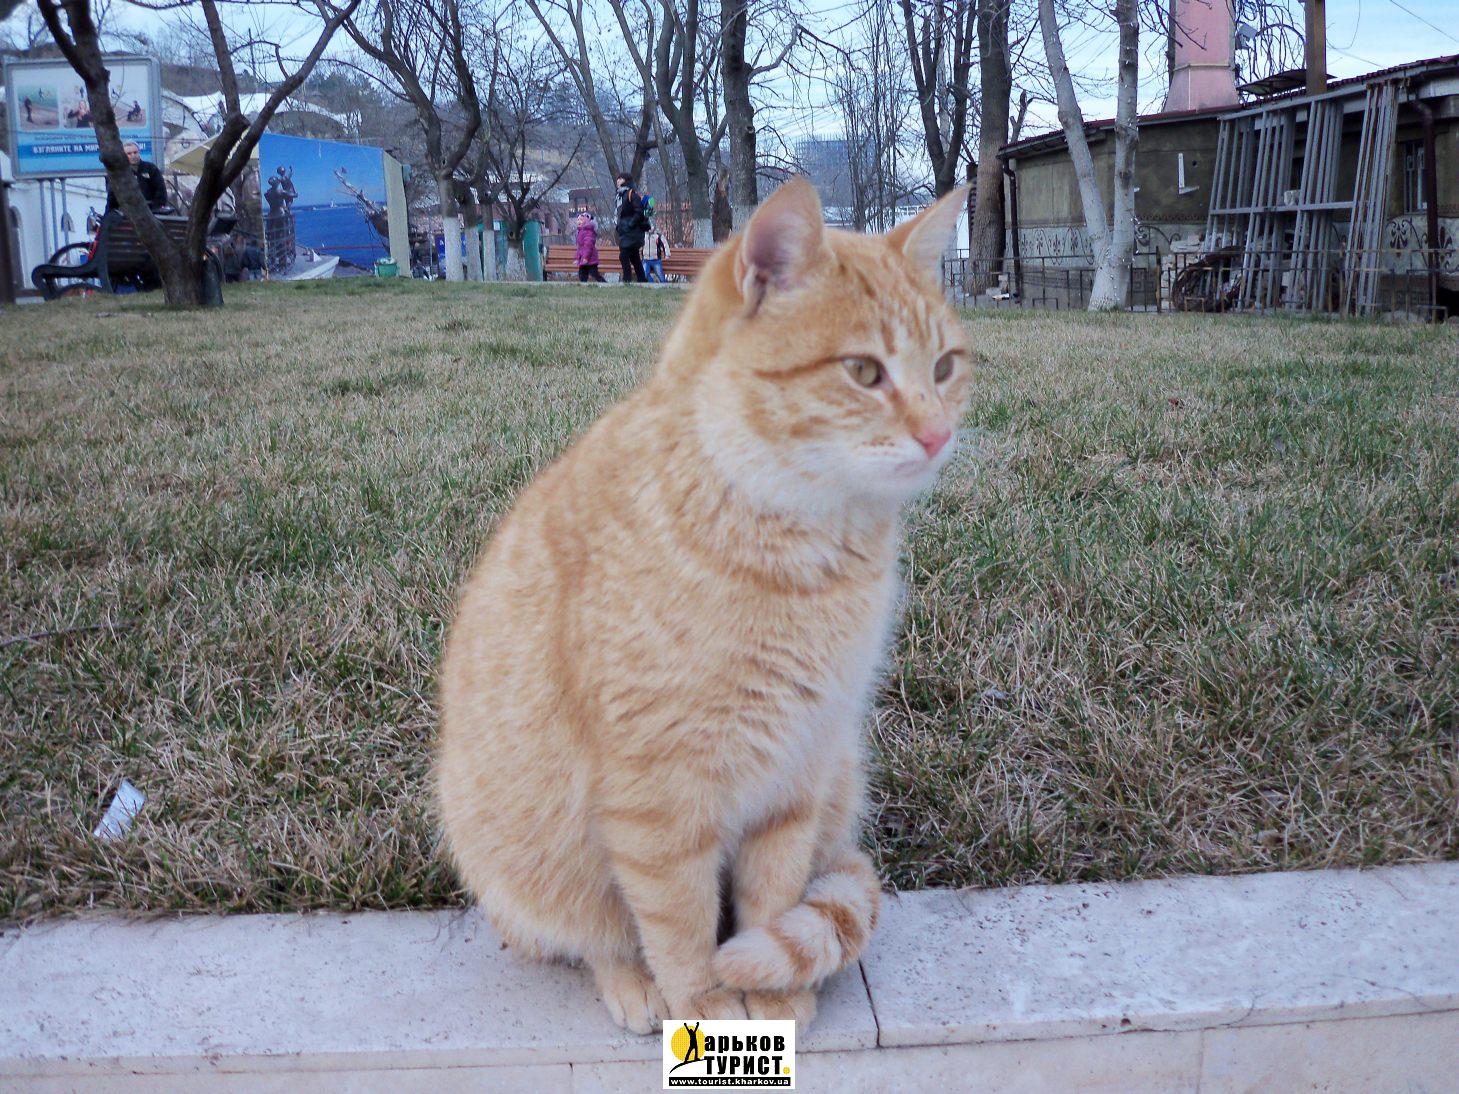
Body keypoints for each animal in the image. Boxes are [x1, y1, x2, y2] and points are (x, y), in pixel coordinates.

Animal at [437, 177, 973, 1033]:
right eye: (863, 372)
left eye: (946, 366)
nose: (937, 435)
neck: (807, 560)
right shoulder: (659, 798)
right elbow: (677, 923)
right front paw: (704, 1006)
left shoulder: (796, 774)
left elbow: (771, 897)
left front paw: (770, 994)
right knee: (594, 935)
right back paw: (631, 984)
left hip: (840, 778)